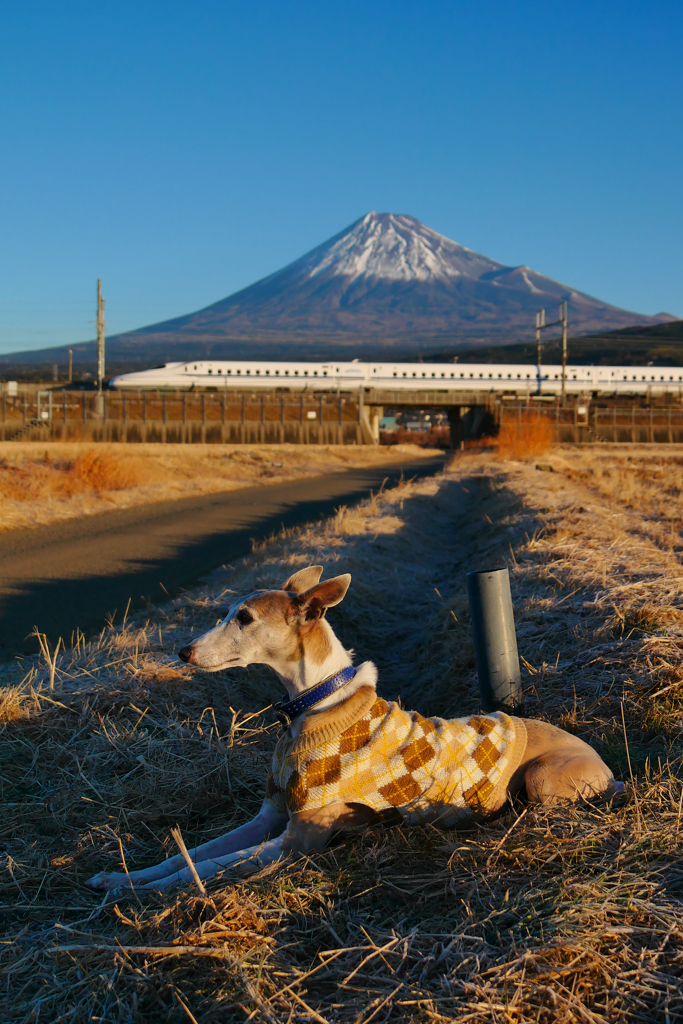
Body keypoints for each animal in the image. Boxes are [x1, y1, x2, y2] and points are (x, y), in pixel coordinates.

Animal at [87, 565, 626, 892]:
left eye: (243, 617)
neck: (316, 703)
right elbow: (190, 854)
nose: (183, 652)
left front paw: (151, 893)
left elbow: (207, 867)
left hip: (541, 779)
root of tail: (609, 769)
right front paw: (122, 879)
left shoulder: (297, 840)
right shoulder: (270, 816)